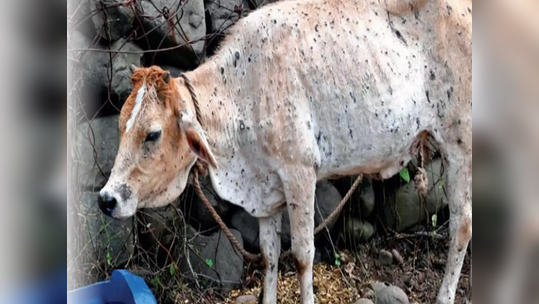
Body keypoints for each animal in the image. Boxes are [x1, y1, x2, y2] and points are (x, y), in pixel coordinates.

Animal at [97, 0, 472, 302]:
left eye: (153, 134)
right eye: (121, 127)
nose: (106, 199)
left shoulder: (300, 172)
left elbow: (303, 254)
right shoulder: (266, 191)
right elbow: (269, 256)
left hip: (460, 146)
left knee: (461, 226)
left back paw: (444, 297)